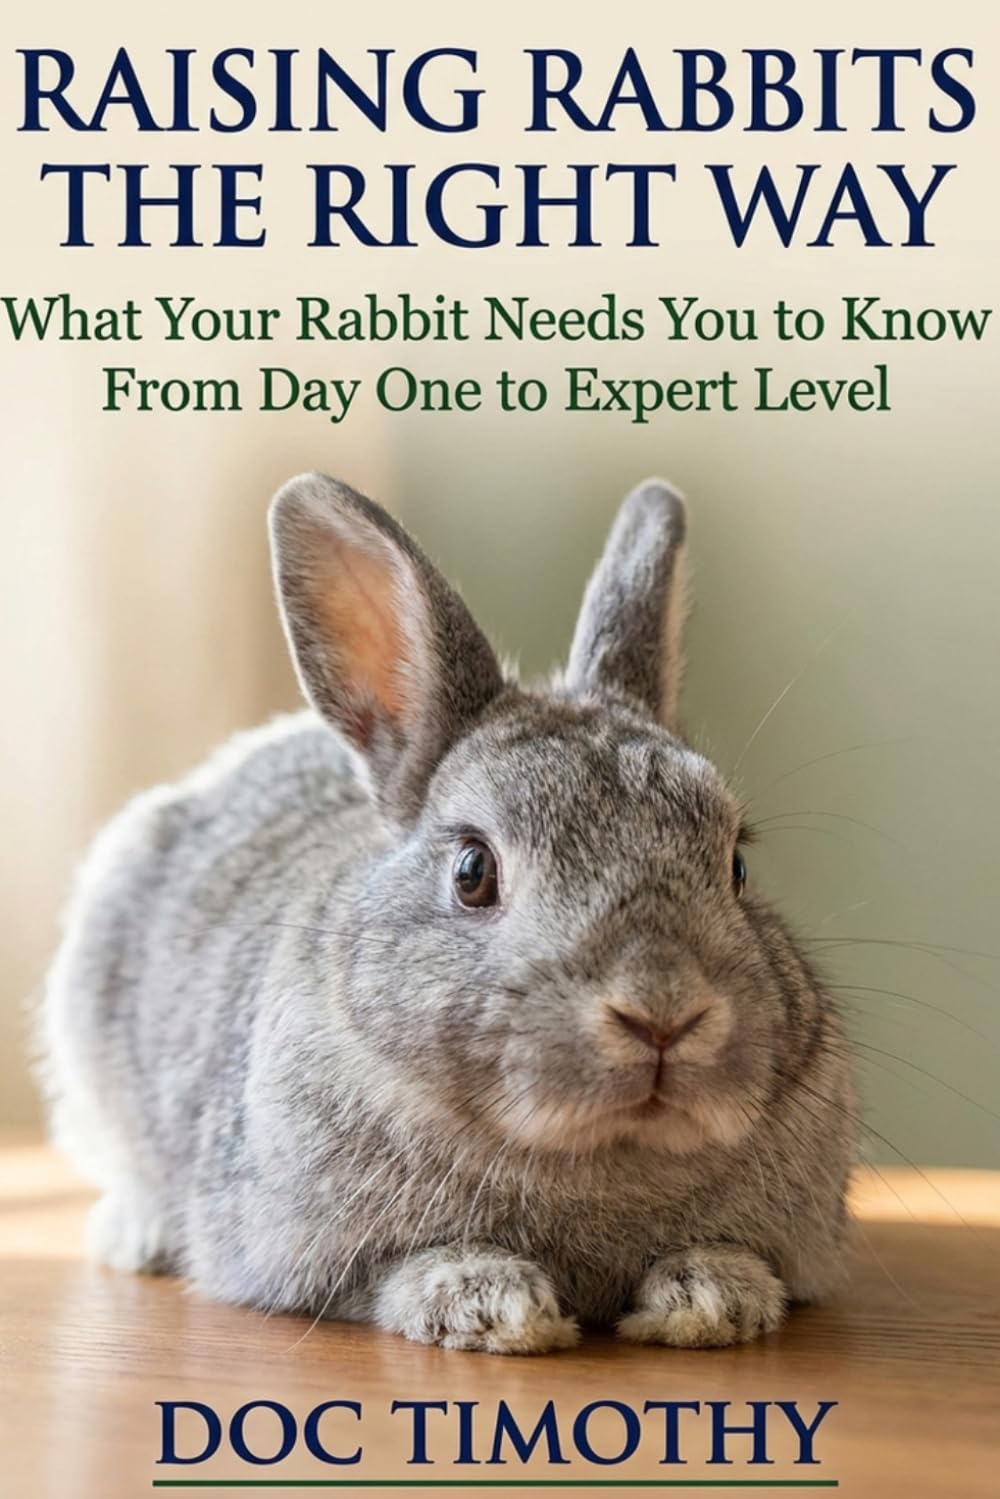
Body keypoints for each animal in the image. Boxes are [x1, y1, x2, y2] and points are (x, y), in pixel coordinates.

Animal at [42, 472, 856, 1354]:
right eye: (473, 871)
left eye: (736, 863)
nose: (664, 1012)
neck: (605, 1157)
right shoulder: (304, 1251)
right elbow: (393, 1273)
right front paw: (495, 1305)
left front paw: (712, 1297)